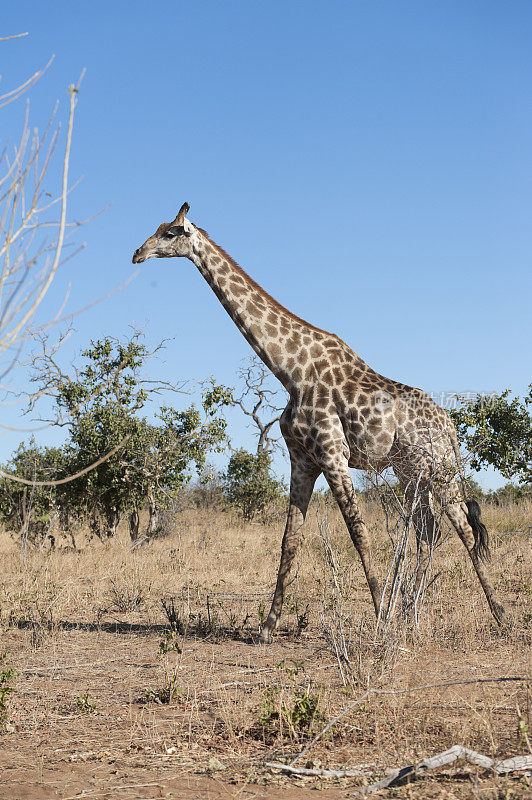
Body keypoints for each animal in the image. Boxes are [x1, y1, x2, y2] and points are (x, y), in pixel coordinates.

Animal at [131, 203, 504, 640]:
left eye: (171, 232)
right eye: (158, 228)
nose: (137, 253)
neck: (289, 371)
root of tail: (450, 425)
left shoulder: (332, 453)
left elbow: (359, 534)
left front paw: (380, 620)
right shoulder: (303, 459)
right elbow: (289, 540)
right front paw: (267, 627)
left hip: (440, 470)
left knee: (464, 529)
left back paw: (497, 616)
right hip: (411, 471)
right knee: (428, 533)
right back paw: (411, 613)